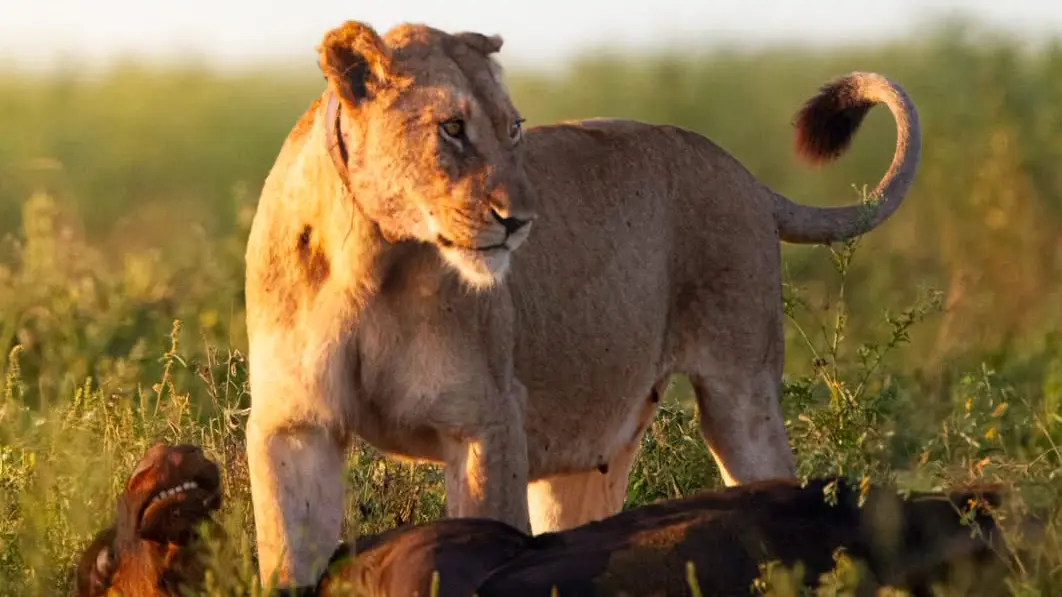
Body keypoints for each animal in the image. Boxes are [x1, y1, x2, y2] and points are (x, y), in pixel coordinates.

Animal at [243, 19, 923, 587]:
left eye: (513, 128)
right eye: (452, 129)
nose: (519, 221)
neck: (370, 256)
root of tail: (742, 171)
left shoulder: (485, 420)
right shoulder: (294, 425)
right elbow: (286, 556)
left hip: (740, 391)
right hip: (587, 453)